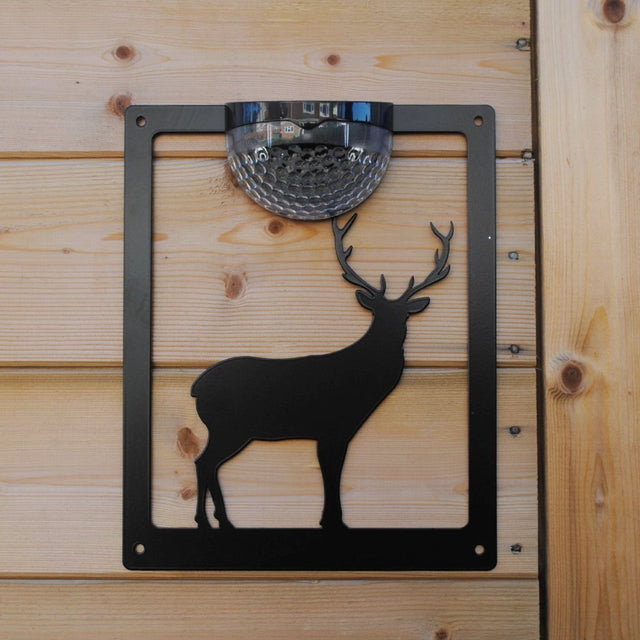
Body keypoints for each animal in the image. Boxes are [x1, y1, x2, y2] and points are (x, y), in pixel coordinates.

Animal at [191, 213, 453, 530]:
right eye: (377, 315)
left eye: (404, 316)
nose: (392, 338)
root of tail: (196, 388)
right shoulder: (332, 427)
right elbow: (331, 474)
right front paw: (332, 521)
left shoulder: (338, 431)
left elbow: (333, 473)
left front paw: (330, 520)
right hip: (228, 427)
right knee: (203, 462)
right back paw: (210, 521)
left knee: (208, 463)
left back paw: (219, 521)